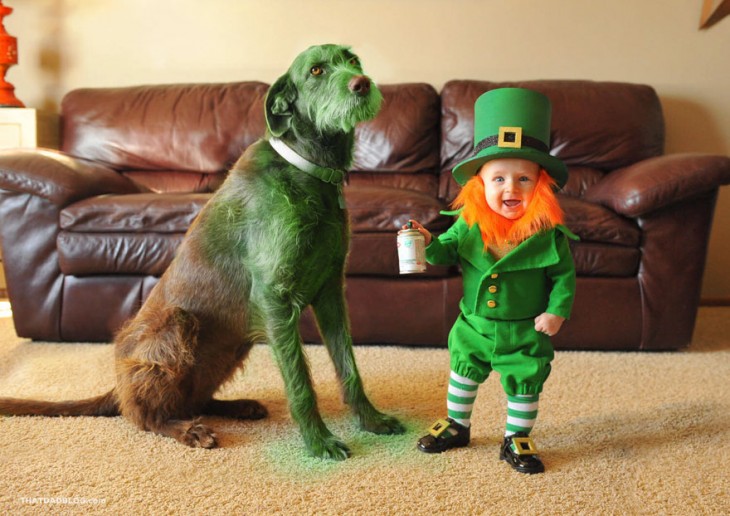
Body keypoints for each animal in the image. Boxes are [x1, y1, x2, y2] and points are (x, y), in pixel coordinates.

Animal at [0, 45, 404, 460]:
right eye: (317, 71)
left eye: (352, 60)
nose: (362, 84)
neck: (308, 170)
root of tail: (118, 386)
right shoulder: (274, 296)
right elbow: (300, 381)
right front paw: (319, 442)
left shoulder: (331, 291)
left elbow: (348, 365)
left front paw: (372, 420)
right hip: (179, 325)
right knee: (145, 416)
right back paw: (187, 429)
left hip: (232, 346)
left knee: (193, 399)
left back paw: (238, 406)